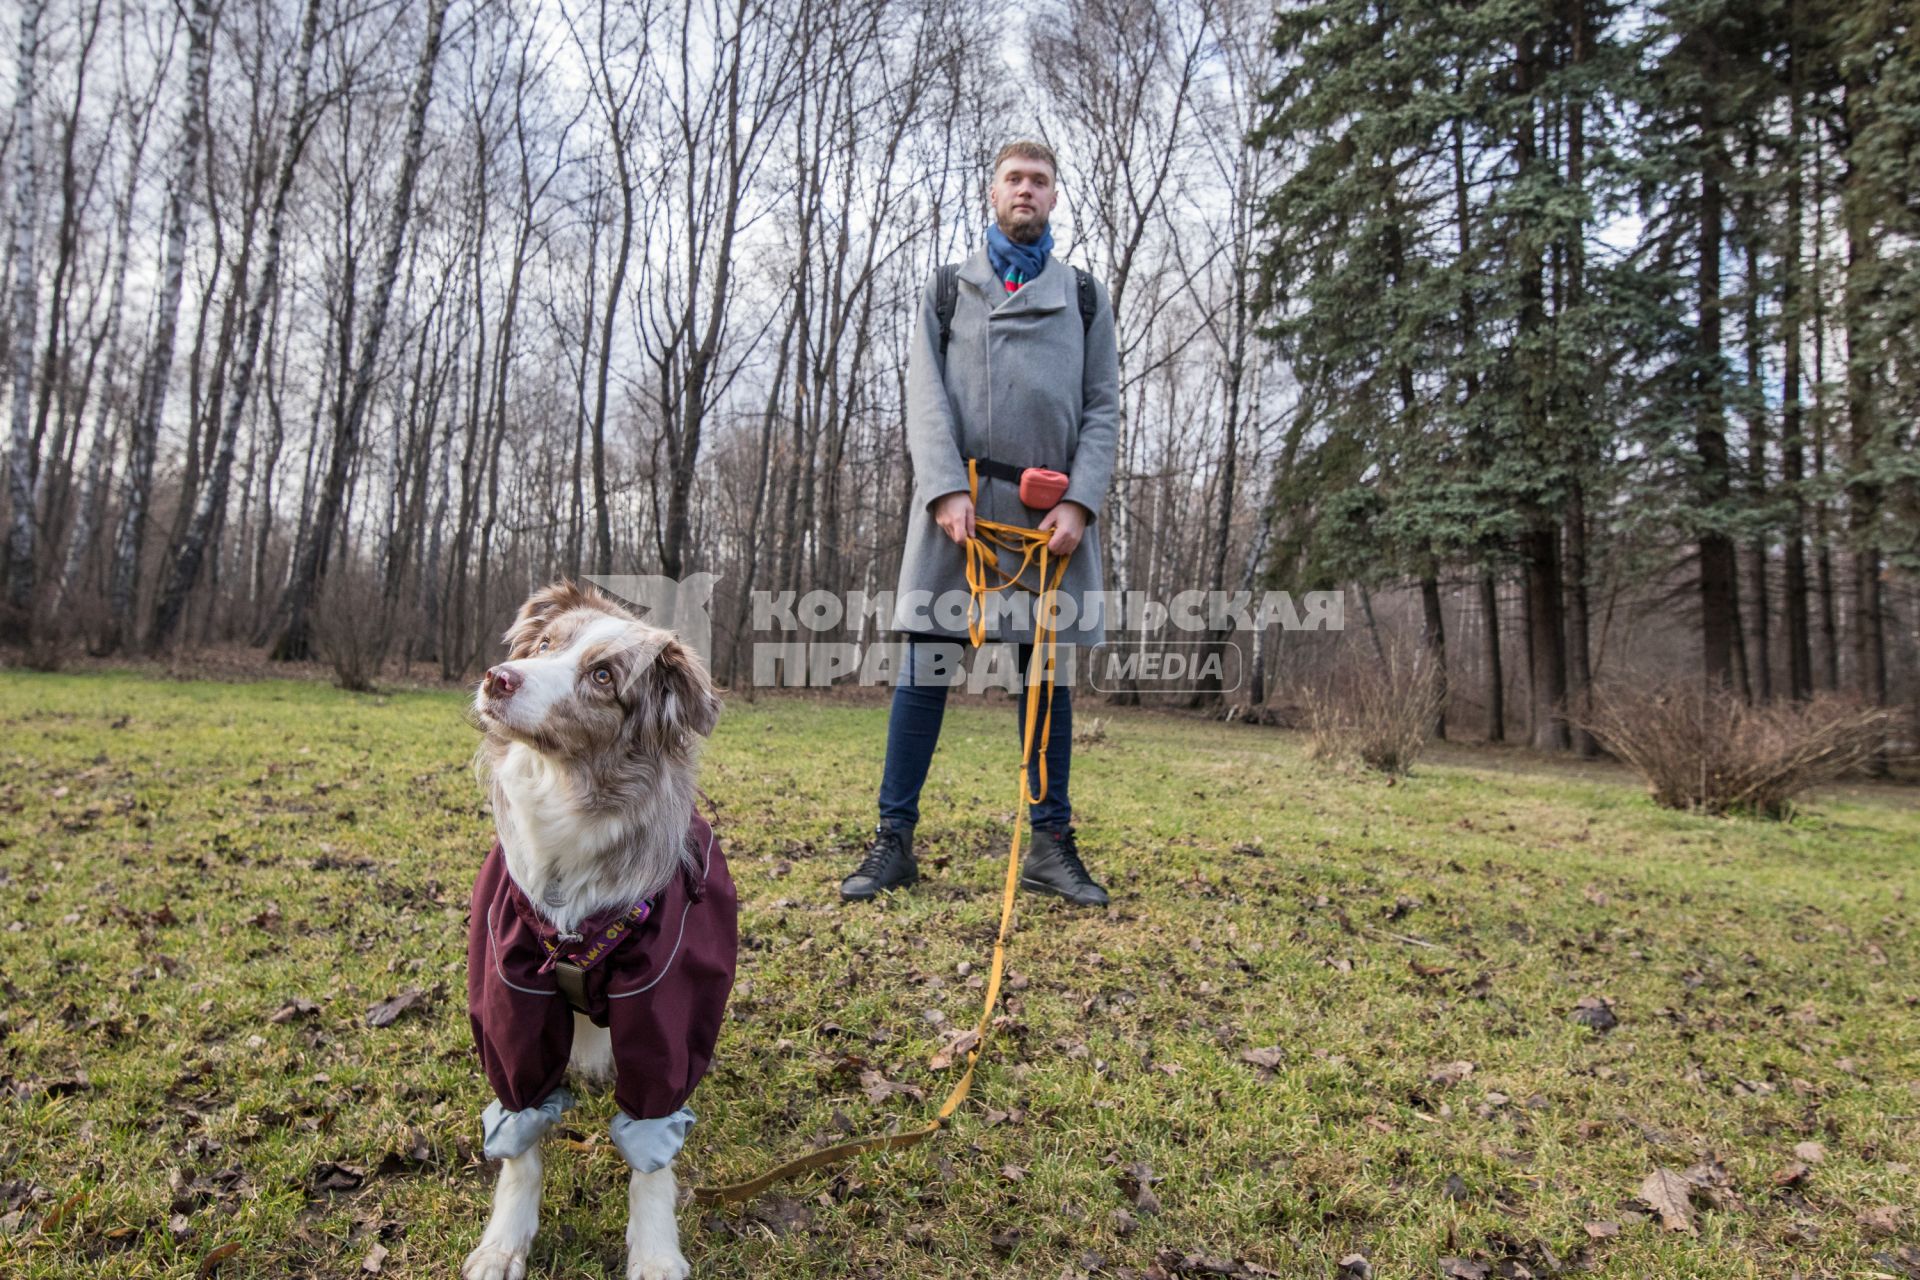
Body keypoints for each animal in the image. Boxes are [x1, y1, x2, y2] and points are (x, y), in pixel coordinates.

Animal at [464, 587, 733, 1280]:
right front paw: (504, 1242)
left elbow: (651, 1143)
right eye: (543, 645)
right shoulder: (510, 990)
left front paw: (657, 1252)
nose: (499, 678)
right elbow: (521, 1136)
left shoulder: (667, 1001)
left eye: (605, 677)